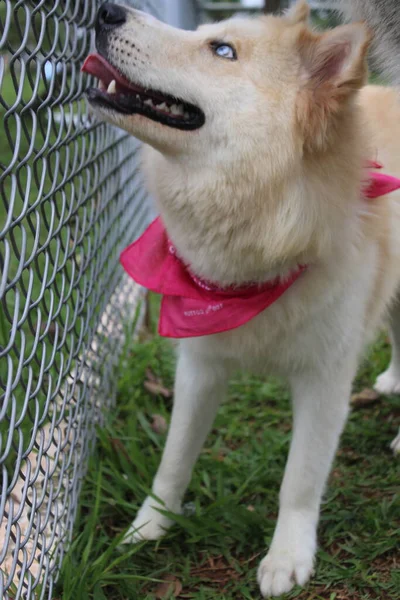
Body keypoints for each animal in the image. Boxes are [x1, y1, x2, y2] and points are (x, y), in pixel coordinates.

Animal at [82, 1, 400, 596]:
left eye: (223, 50)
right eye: (209, 35)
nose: (106, 12)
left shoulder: (325, 380)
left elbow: (300, 479)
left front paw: (287, 556)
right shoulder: (199, 365)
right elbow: (173, 458)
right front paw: (149, 524)